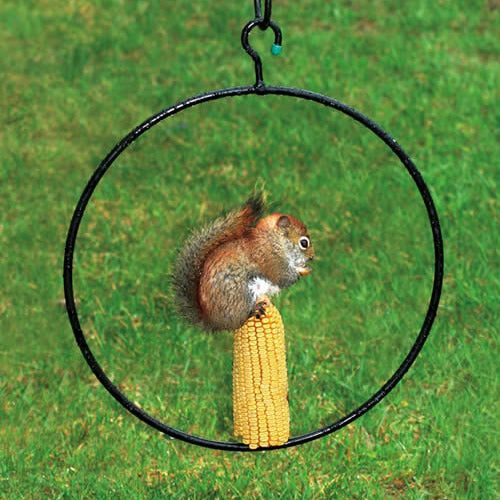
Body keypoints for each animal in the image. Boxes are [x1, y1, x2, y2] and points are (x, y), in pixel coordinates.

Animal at [171, 194, 312, 332]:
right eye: (304, 243)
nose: (312, 257)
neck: (272, 242)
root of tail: (213, 322)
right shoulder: (270, 261)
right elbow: (283, 277)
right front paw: (303, 271)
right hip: (240, 296)